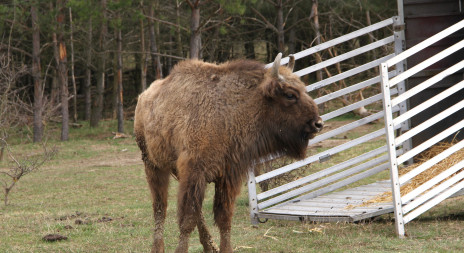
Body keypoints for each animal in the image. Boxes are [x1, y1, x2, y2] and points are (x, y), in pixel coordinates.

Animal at [134, 52, 322, 251]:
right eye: (290, 95)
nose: (318, 123)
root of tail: (144, 96)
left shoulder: (227, 176)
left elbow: (223, 219)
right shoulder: (195, 174)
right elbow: (187, 220)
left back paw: (210, 246)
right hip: (153, 165)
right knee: (160, 208)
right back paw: (158, 247)